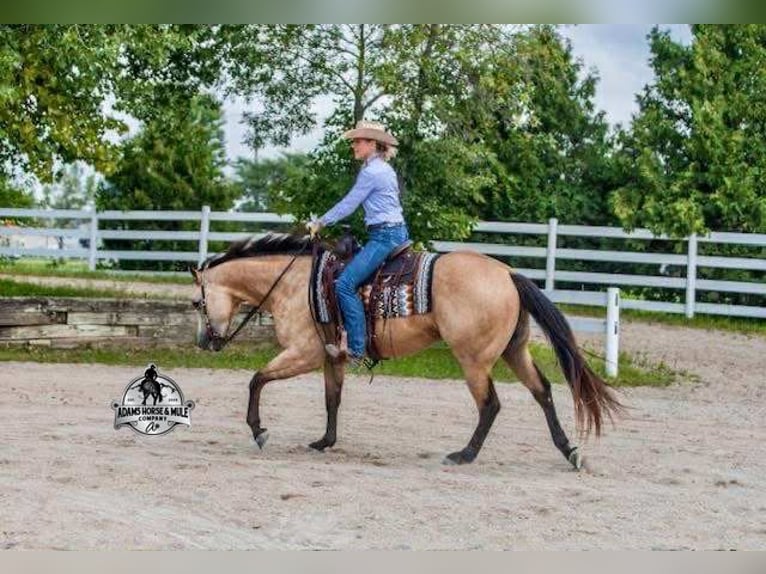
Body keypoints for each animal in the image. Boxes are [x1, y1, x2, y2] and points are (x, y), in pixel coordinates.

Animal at [190, 233, 622, 469]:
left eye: (197, 302)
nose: (204, 343)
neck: (295, 283)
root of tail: (506, 274)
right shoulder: (332, 357)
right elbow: (333, 399)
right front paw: (325, 442)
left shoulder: (305, 353)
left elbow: (257, 379)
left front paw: (259, 430)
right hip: (513, 352)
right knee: (543, 392)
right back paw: (570, 452)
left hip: (474, 360)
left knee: (491, 405)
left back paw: (463, 455)